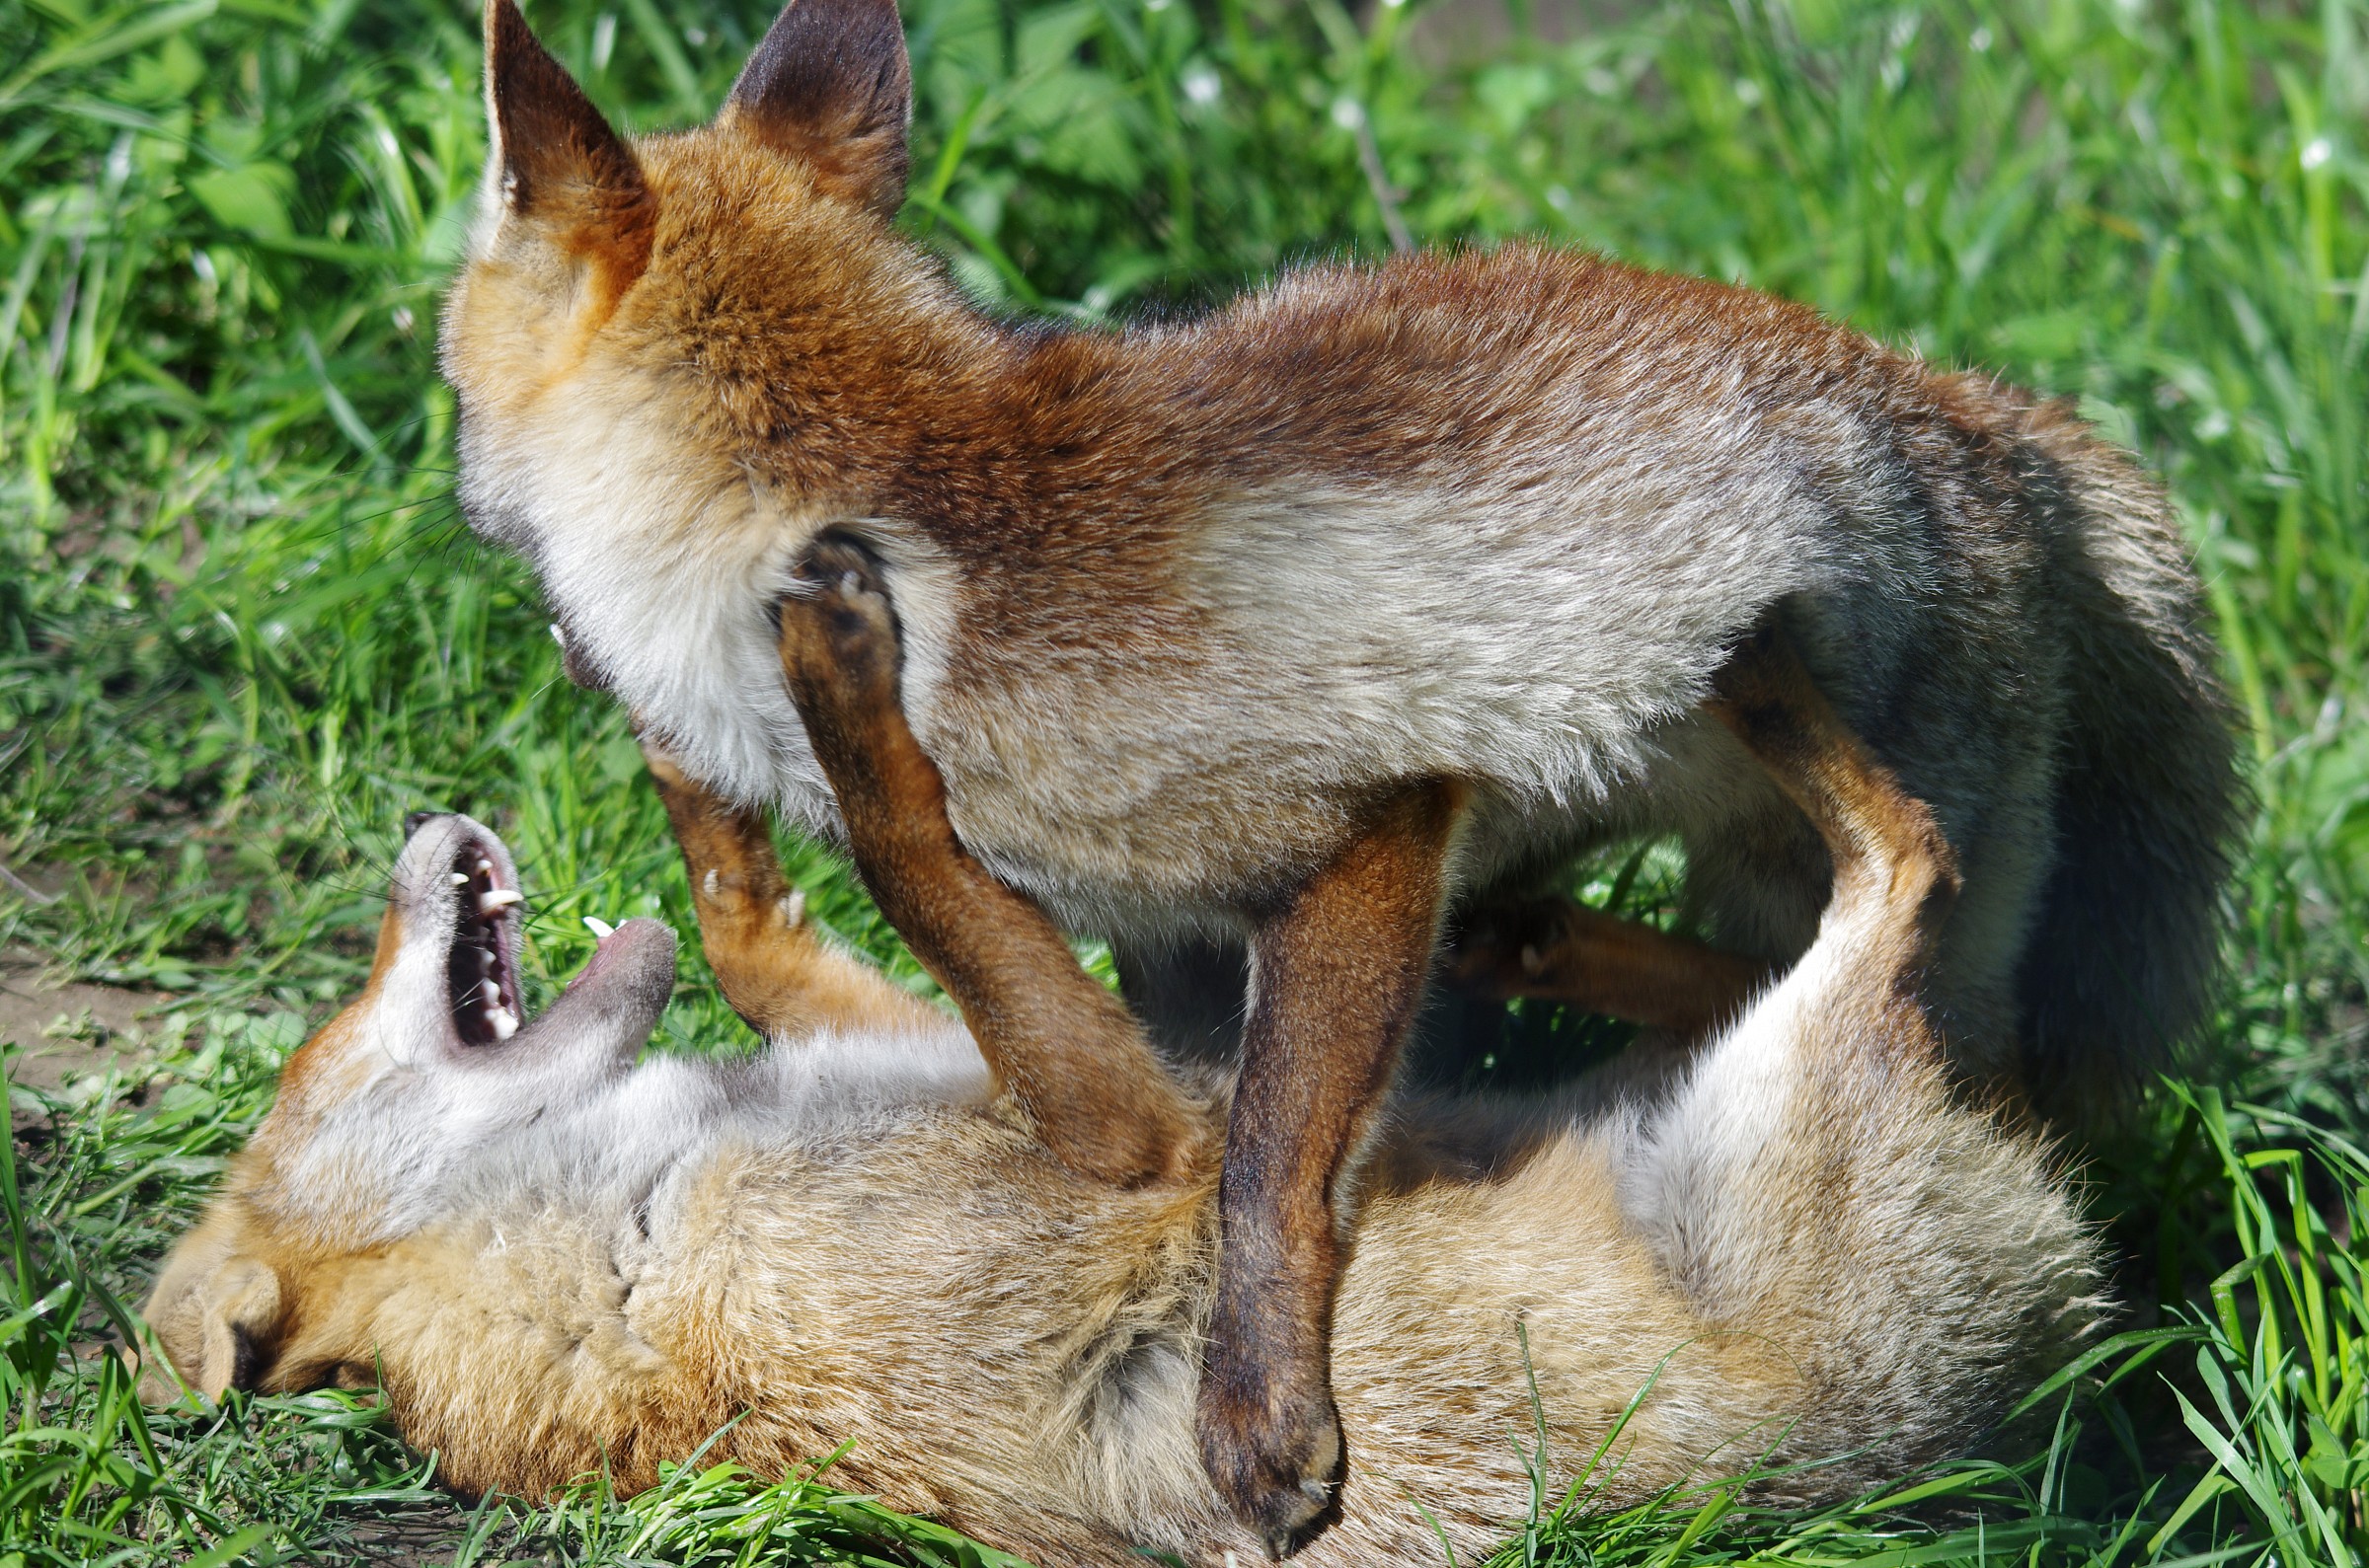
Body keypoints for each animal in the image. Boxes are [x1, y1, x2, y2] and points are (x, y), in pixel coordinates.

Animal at [144, 590, 2101, 1568]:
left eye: (308, 1042)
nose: (427, 841)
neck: (621, 1233)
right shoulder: (1140, 1135)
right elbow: (917, 858)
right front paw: (836, 697)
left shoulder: (935, 1042)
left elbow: (747, 919)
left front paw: (670, 717)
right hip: (1782, 1097)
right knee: (1902, 859)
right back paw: (1753, 678)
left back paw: (1533, 921)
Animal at [437, 0, 2235, 1535]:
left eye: (451, 362)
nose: (452, 492)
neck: (924, 517)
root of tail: (1977, 415)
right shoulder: (1175, 935)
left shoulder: (1362, 825)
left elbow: (1262, 1157)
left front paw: (1263, 1413)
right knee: (1725, 964)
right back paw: (1556, 937)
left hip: (1874, 884)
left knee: (1899, 907)